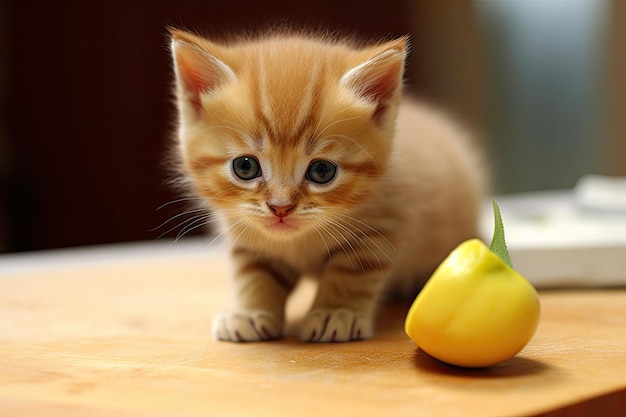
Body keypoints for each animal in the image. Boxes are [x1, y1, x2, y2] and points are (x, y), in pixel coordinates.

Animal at [168, 28, 486, 342]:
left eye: (322, 171)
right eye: (245, 167)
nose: (280, 207)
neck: (298, 241)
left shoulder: (383, 225)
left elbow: (351, 274)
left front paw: (336, 314)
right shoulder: (245, 232)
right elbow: (255, 273)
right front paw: (250, 312)